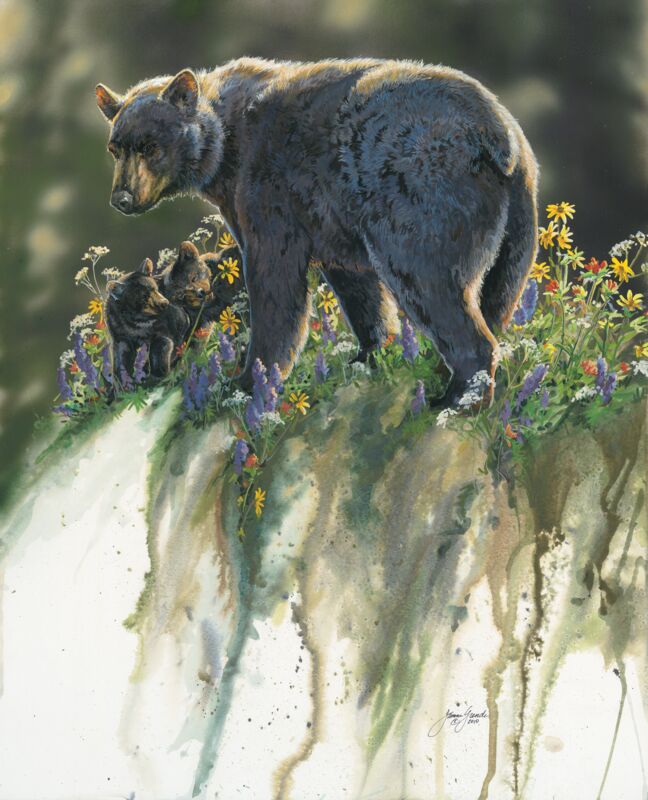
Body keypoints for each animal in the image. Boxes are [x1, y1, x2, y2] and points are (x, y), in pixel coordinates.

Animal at [96, 57, 539, 404]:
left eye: (151, 147)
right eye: (115, 148)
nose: (121, 198)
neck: (225, 147)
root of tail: (497, 132)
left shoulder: (269, 189)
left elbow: (275, 277)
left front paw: (247, 382)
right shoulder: (331, 217)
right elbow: (358, 288)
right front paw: (369, 356)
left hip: (421, 197)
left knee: (429, 283)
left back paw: (455, 401)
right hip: (517, 216)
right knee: (497, 294)